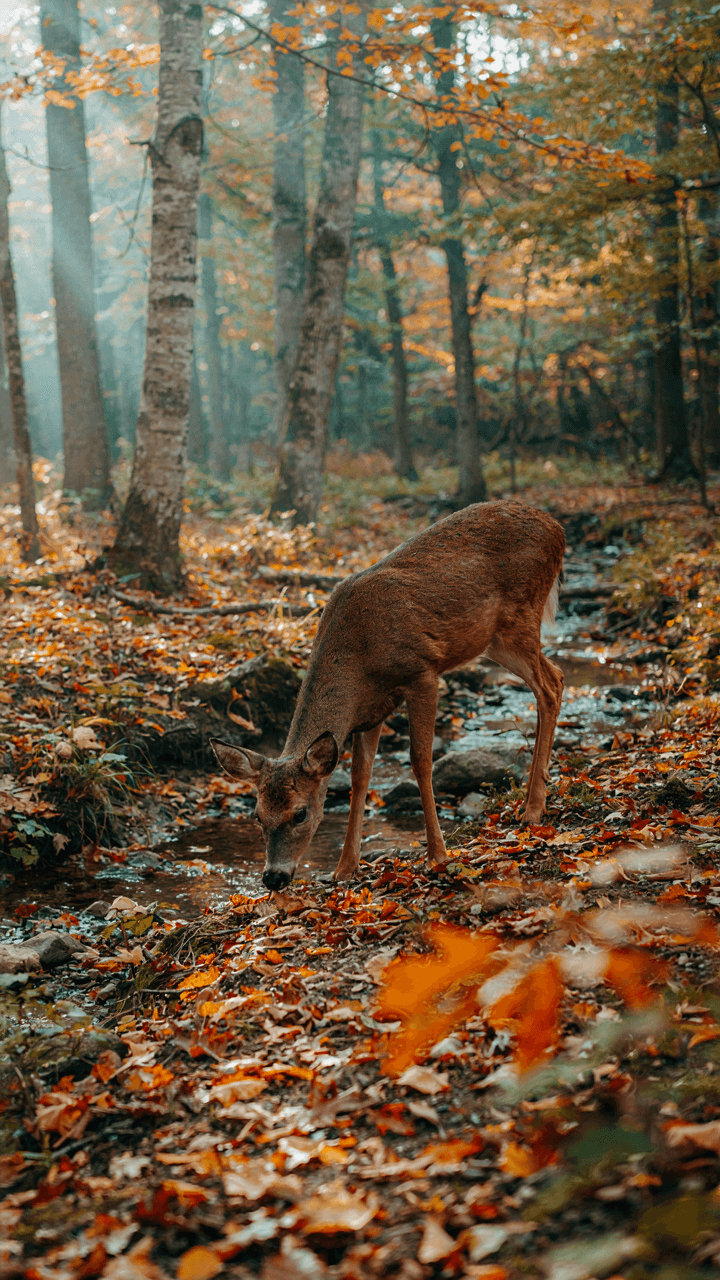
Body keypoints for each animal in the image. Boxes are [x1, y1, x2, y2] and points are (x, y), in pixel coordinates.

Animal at [211, 500, 565, 891]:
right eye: (258, 815)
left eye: (300, 813)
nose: (274, 877)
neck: (359, 659)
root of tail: (557, 527)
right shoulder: (370, 712)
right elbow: (359, 778)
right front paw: (344, 868)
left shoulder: (422, 672)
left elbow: (420, 761)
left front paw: (437, 855)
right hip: (494, 640)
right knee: (555, 678)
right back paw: (533, 800)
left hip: (521, 617)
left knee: (550, 686)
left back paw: (533, 809)